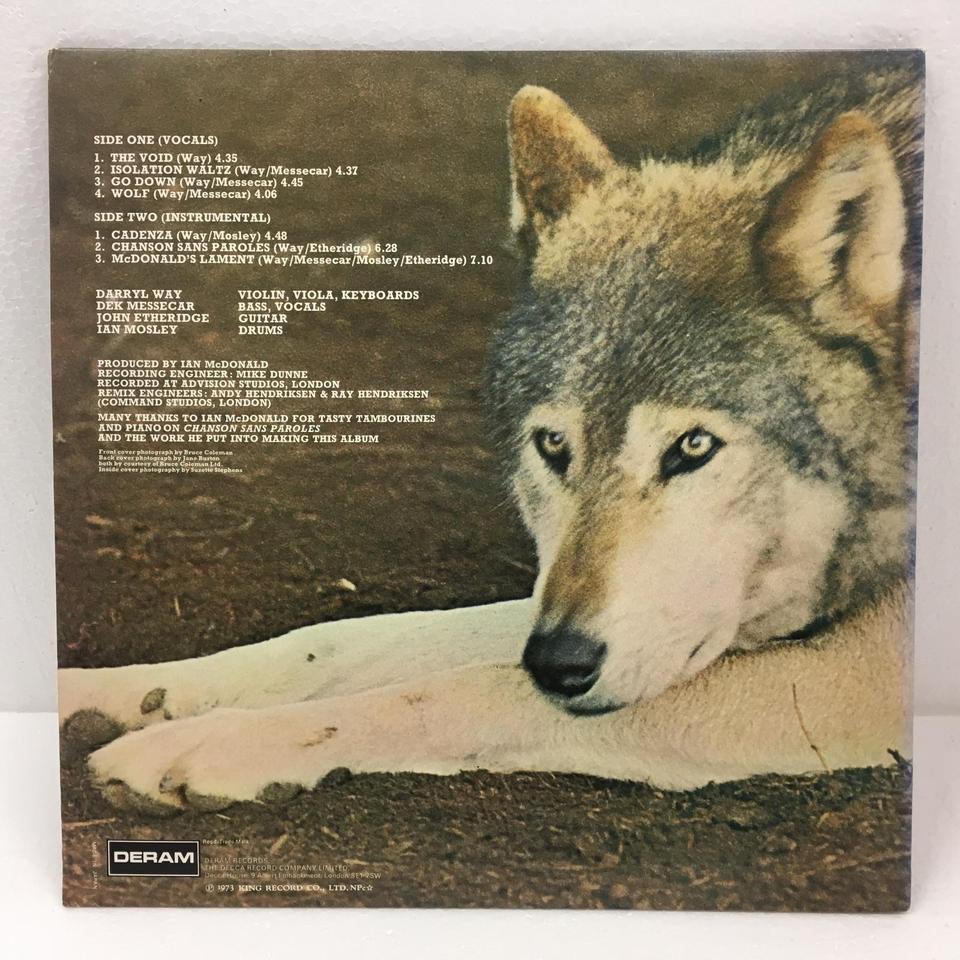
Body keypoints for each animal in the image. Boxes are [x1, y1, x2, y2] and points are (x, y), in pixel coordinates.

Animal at [59, 61, 922, 812]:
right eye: (553, 447)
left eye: (693, 448)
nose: (560, 664)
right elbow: (343, 641)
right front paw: (103, 692)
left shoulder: (855, 675)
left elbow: (460, 689)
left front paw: (211, 746)